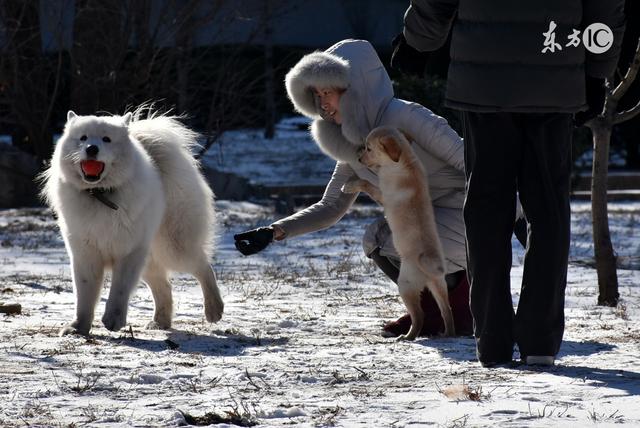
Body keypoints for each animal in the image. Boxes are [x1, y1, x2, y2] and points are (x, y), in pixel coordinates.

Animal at [41, 107, 224, 334]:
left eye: (106, 139)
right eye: (83, 138)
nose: (91, 149)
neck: (101, 194)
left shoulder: (128, 252)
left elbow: (119, 289)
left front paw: (113, 319)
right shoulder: (85, 255)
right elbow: (84, 295)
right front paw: (78, 327)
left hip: (173, 247)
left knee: (203, 267)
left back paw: (214, 309)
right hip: (150, 258)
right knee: (165, 287)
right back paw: (160, 322)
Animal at [340, 125, 456, 340]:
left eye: (369, 148)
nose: (359, 159)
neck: (405, 162)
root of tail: (427, 265)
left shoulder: (382, 193)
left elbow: (365, 183)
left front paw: (350, 184)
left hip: (405, 285)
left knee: (419, 315)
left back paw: (408, 336)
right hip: (439, 286)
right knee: (447, 311)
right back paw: (447, 333)